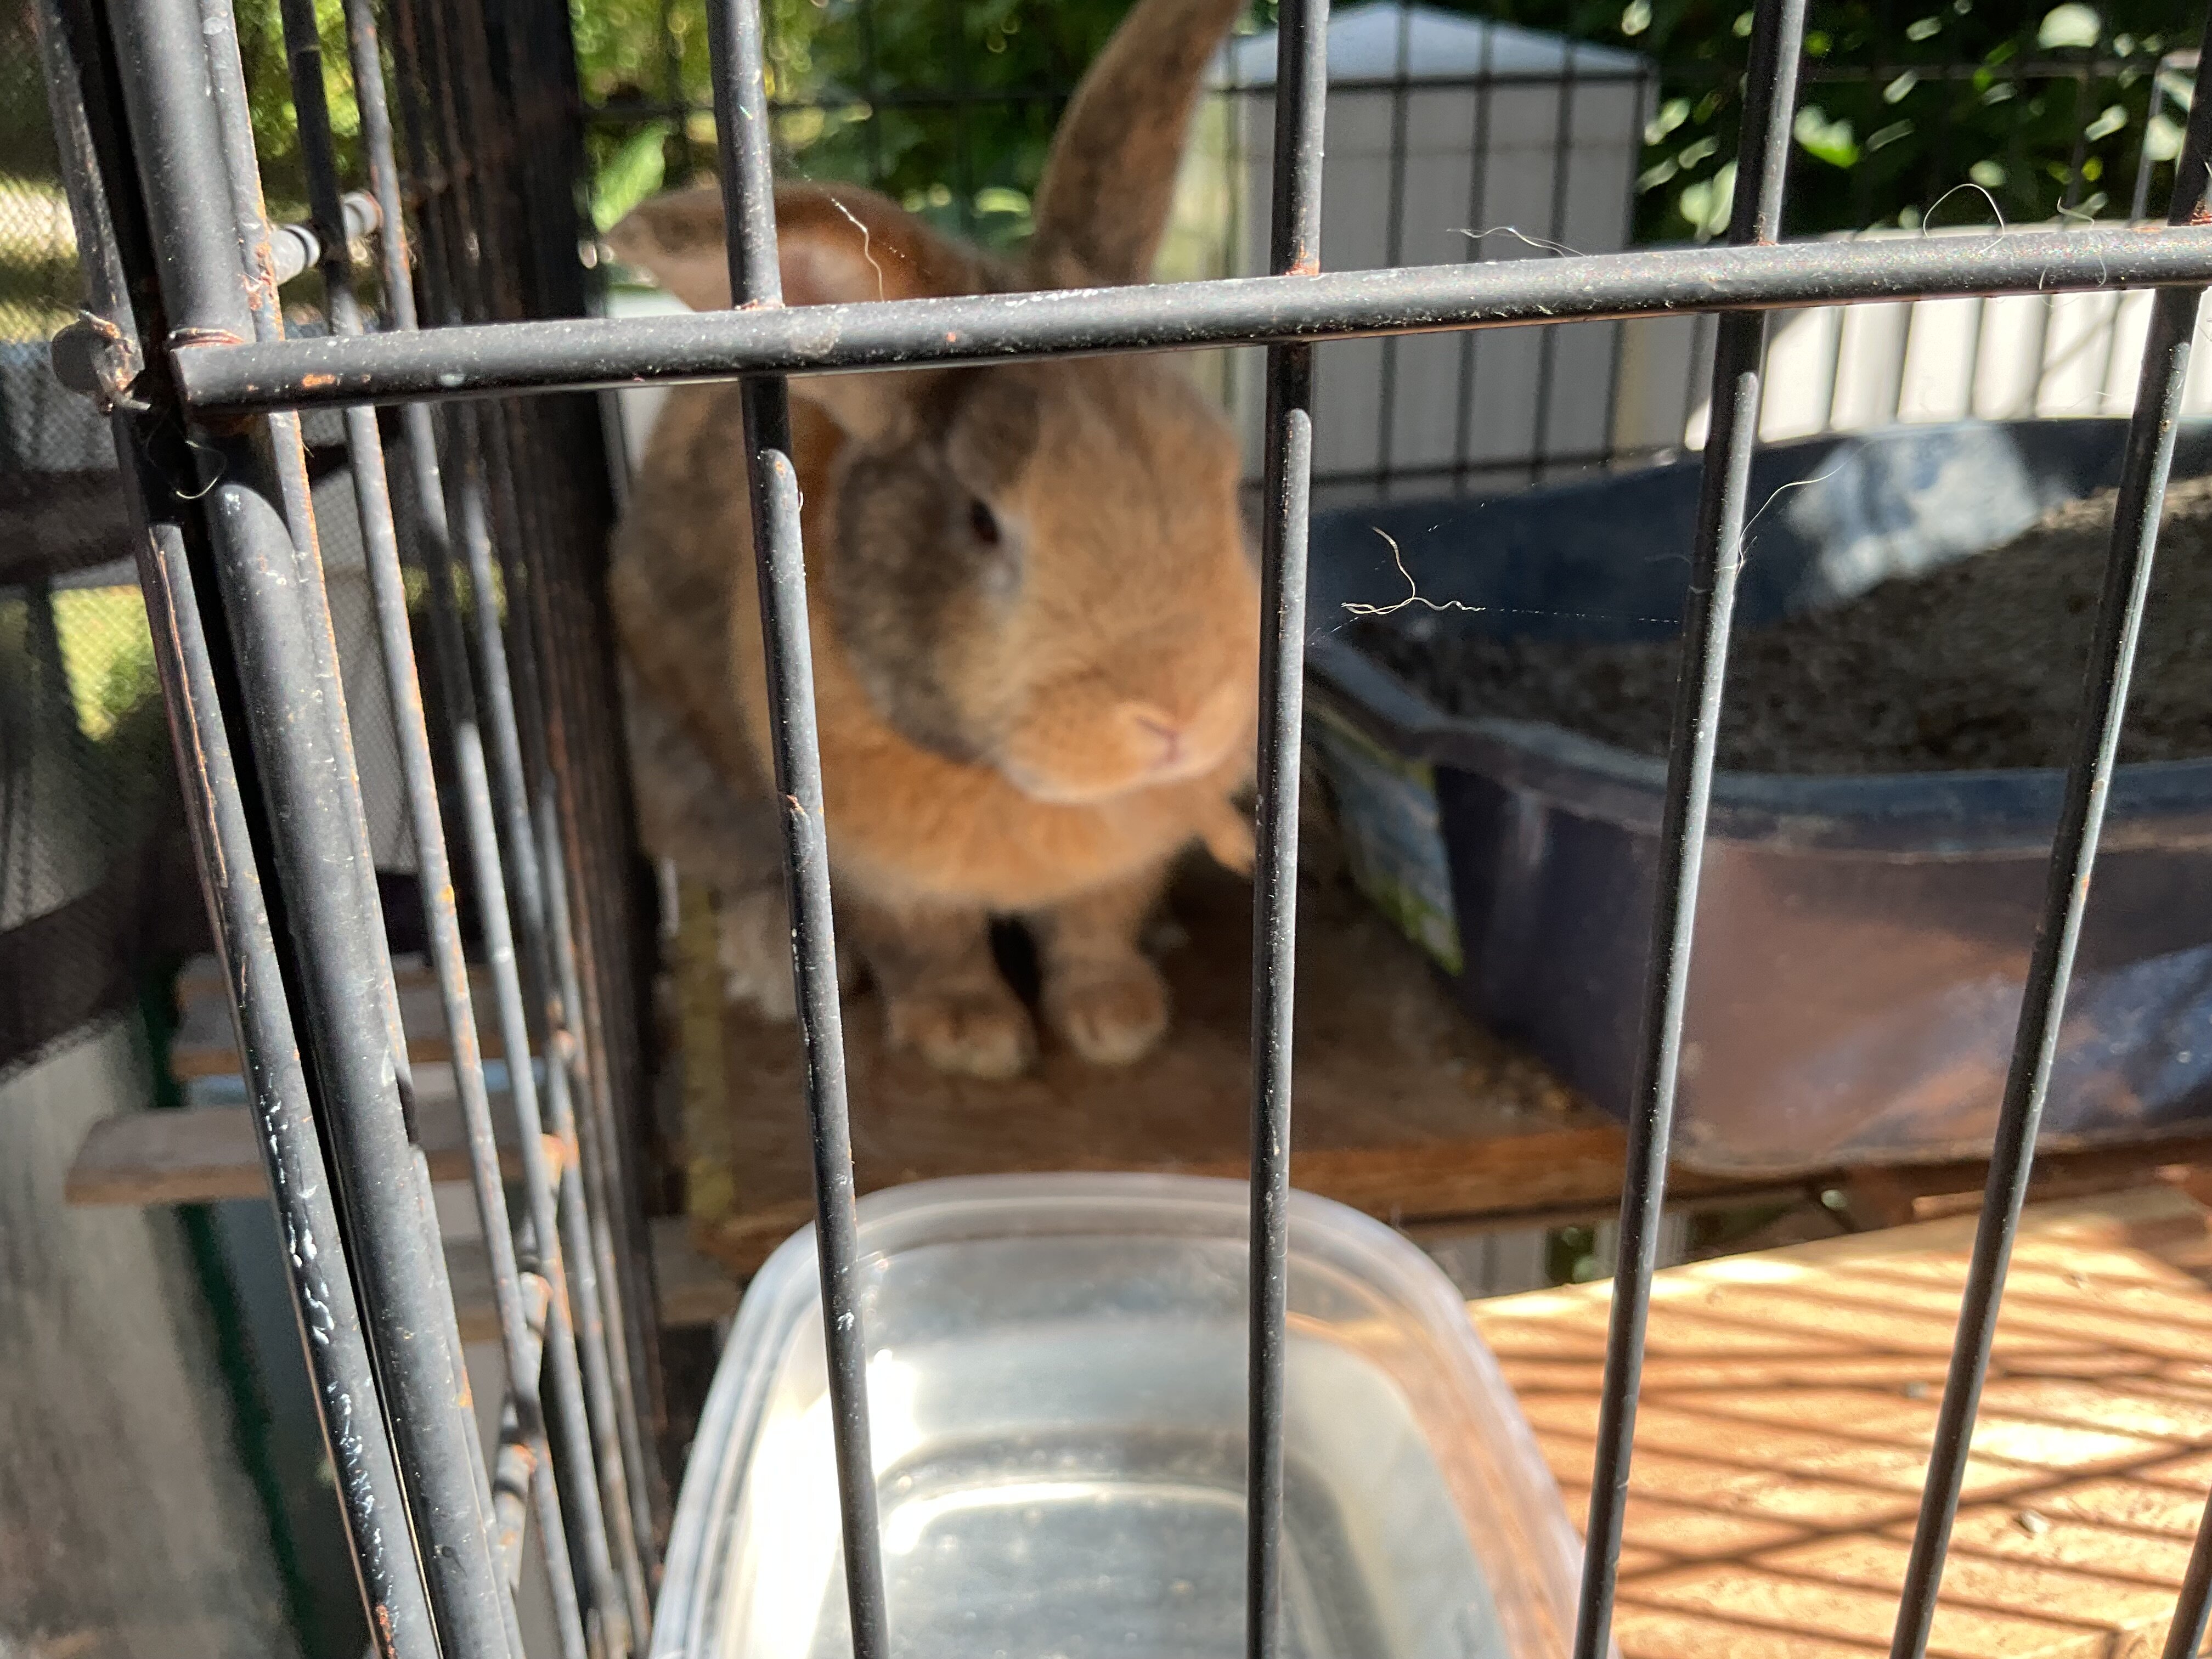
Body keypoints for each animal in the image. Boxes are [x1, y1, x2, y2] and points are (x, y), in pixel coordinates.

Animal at [607, 0, 1259, 1079]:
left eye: (1225, 475)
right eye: (983, 521)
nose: (1179, 717)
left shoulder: (1124, 861)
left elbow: (1094, 926)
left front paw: (1116, 1020)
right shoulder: (874, 873)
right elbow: (928, 946)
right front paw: (970, 1038)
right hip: (678, 774)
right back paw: (771, 962)